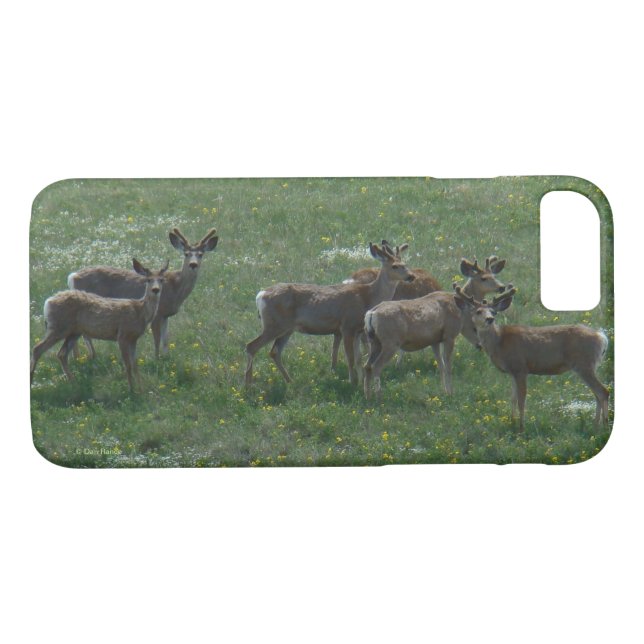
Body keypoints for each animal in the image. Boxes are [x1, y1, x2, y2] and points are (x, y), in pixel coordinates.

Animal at [30, 260, 169, 391]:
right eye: (148, 280)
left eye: (162, 280)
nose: (155, 290)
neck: (140, 311)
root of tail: (48, 302)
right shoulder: (122, 335)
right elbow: (128, 365)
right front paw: (131, 390)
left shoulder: (133, 339)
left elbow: (135, 365)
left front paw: (141, 389)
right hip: (58, 327)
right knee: (37, 349)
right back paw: (32, 381)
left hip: (74, 332)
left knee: (61, 354)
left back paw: (74, 383)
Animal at [68, 228, 218, 359]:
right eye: (186, 253)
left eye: (201, 254)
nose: (193, 264)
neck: (175, 289)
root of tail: (72, 277)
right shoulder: (157, 313)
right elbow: (157, 339)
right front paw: (156, 359)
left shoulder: (166, 315)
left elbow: (165, 340)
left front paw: (166, 357)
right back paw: (87, 356)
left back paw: (78, 357)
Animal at [245, 242, 415, 386]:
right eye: (395, 266)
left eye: (405, 264)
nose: (411, 276)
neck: (367, 297)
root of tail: (261, 295)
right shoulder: (347, 326)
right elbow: (350, 357)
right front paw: (352, 381)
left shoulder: (358, 330)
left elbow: (359, 358)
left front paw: (360, 381)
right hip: (274, 325)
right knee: (251, 346)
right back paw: (248, 385)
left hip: (287, 328)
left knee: (274, 352)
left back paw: (289, 381)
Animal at [362, 255, 509, 399]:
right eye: (484, 278)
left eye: (494, 275)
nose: (501, 287)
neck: (459, 308)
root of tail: (372, 313)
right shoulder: (449, 335)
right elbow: (448, 366)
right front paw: (451, 392)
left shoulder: (434, 340)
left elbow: (440, 366)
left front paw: (444, 391)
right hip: (390, 342)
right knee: (376, 366)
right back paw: (378, 396)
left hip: (374, 341)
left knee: (367, 366)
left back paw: (367, 396)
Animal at [453, 285, 609, 430]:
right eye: (478, 311)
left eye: (493, 311)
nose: (490, 319)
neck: (499, 342)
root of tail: (601, 337)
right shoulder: (512, 372)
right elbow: (513, 398)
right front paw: (511, 422)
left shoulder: (521, 368)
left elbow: (521, 399)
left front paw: (521, 427)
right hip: (589, 365)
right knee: (597, 393)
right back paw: (596, 424)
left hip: (584, 363)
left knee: (603, 391)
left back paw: (603, 425)